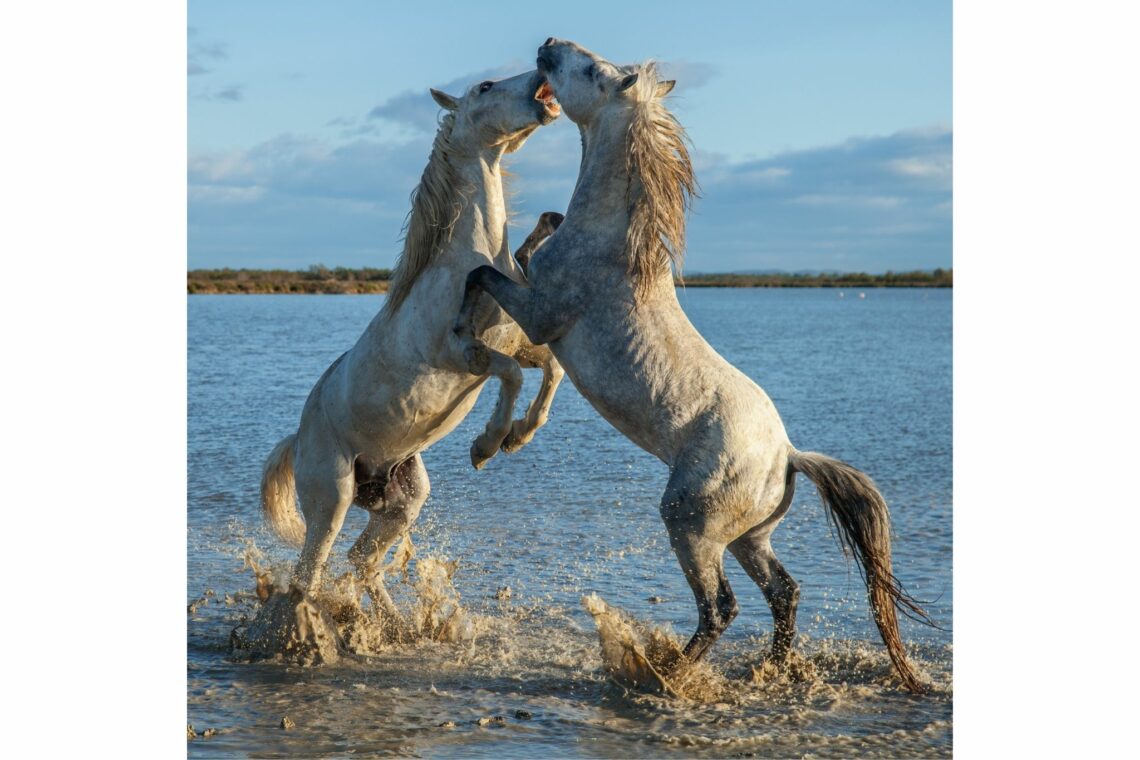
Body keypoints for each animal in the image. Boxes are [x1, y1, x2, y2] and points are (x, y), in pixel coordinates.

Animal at [258, 68, 565, 644]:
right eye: (486, 86)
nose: (541, 77)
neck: (472, 261)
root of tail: (299, 437)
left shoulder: (517, 340)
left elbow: (549, 369)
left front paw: (519, 437)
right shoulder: (461, 354)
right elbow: (511, 375)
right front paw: (486, 445)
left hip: (403, 500)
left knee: (361, 561)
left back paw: (398, 627)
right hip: (331, 498)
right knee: (310, 572)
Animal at [454, 40, 933, 693]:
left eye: (590, 70)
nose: (548, 45)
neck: (611, 244)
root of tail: (788, 456)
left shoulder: (540, 316)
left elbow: (485, 272)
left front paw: (465, 344)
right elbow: (536, 236)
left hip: (690, 523)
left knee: (722, 607)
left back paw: (662, 672)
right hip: (748, 537)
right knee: (784, 592)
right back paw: (770, 668)